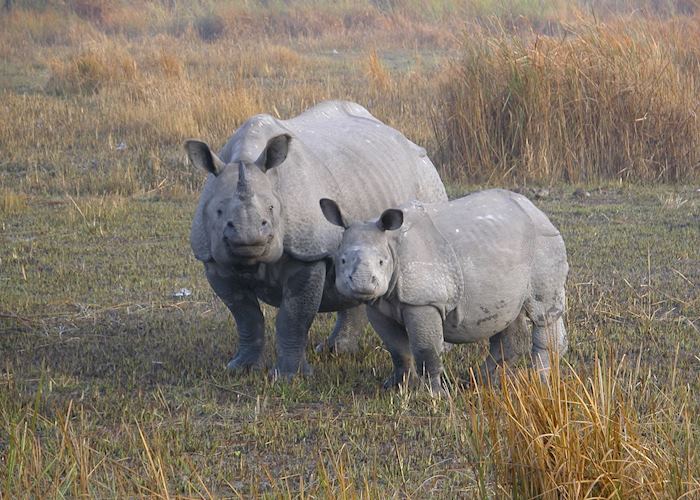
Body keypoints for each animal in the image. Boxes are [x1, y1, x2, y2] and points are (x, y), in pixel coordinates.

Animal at [186, 100, 447, 376]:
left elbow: (293, 317)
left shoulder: (308, 255)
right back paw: (336, 350)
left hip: (427, 178)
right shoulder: (213, 260)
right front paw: (240, 368)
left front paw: (288, 376)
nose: (249, 237)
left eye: (271, 209)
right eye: (219, 211)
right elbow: (246, 317)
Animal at [320, 189, 569, 392]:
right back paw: (478, 381)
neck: (390, 244)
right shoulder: (379, 305)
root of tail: (536, 210)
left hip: (544, 241)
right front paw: (395, 386)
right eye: (341, 260)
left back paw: (541, 383)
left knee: (542, 312)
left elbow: (425, 349)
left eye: (381, 262)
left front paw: (433, 394)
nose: (362, 284)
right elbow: (397, 349)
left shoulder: (424, 301)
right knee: (507, 316)